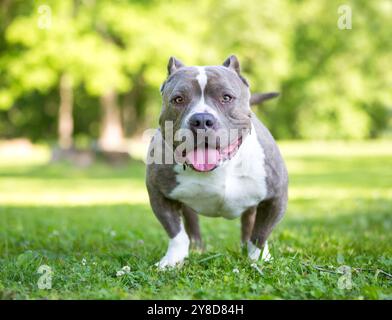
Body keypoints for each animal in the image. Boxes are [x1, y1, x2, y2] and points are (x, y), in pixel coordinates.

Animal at [147, 55, 288, 268]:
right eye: (178, 99)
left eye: (226, 97)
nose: (201, 120)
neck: (220, 167)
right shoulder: (159, 195)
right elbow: (176, 233)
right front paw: (172, 260)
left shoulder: (276, 198)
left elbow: (261, 234)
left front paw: (259, 259)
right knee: (191, 222)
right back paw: (196, 249)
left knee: (249, 223)